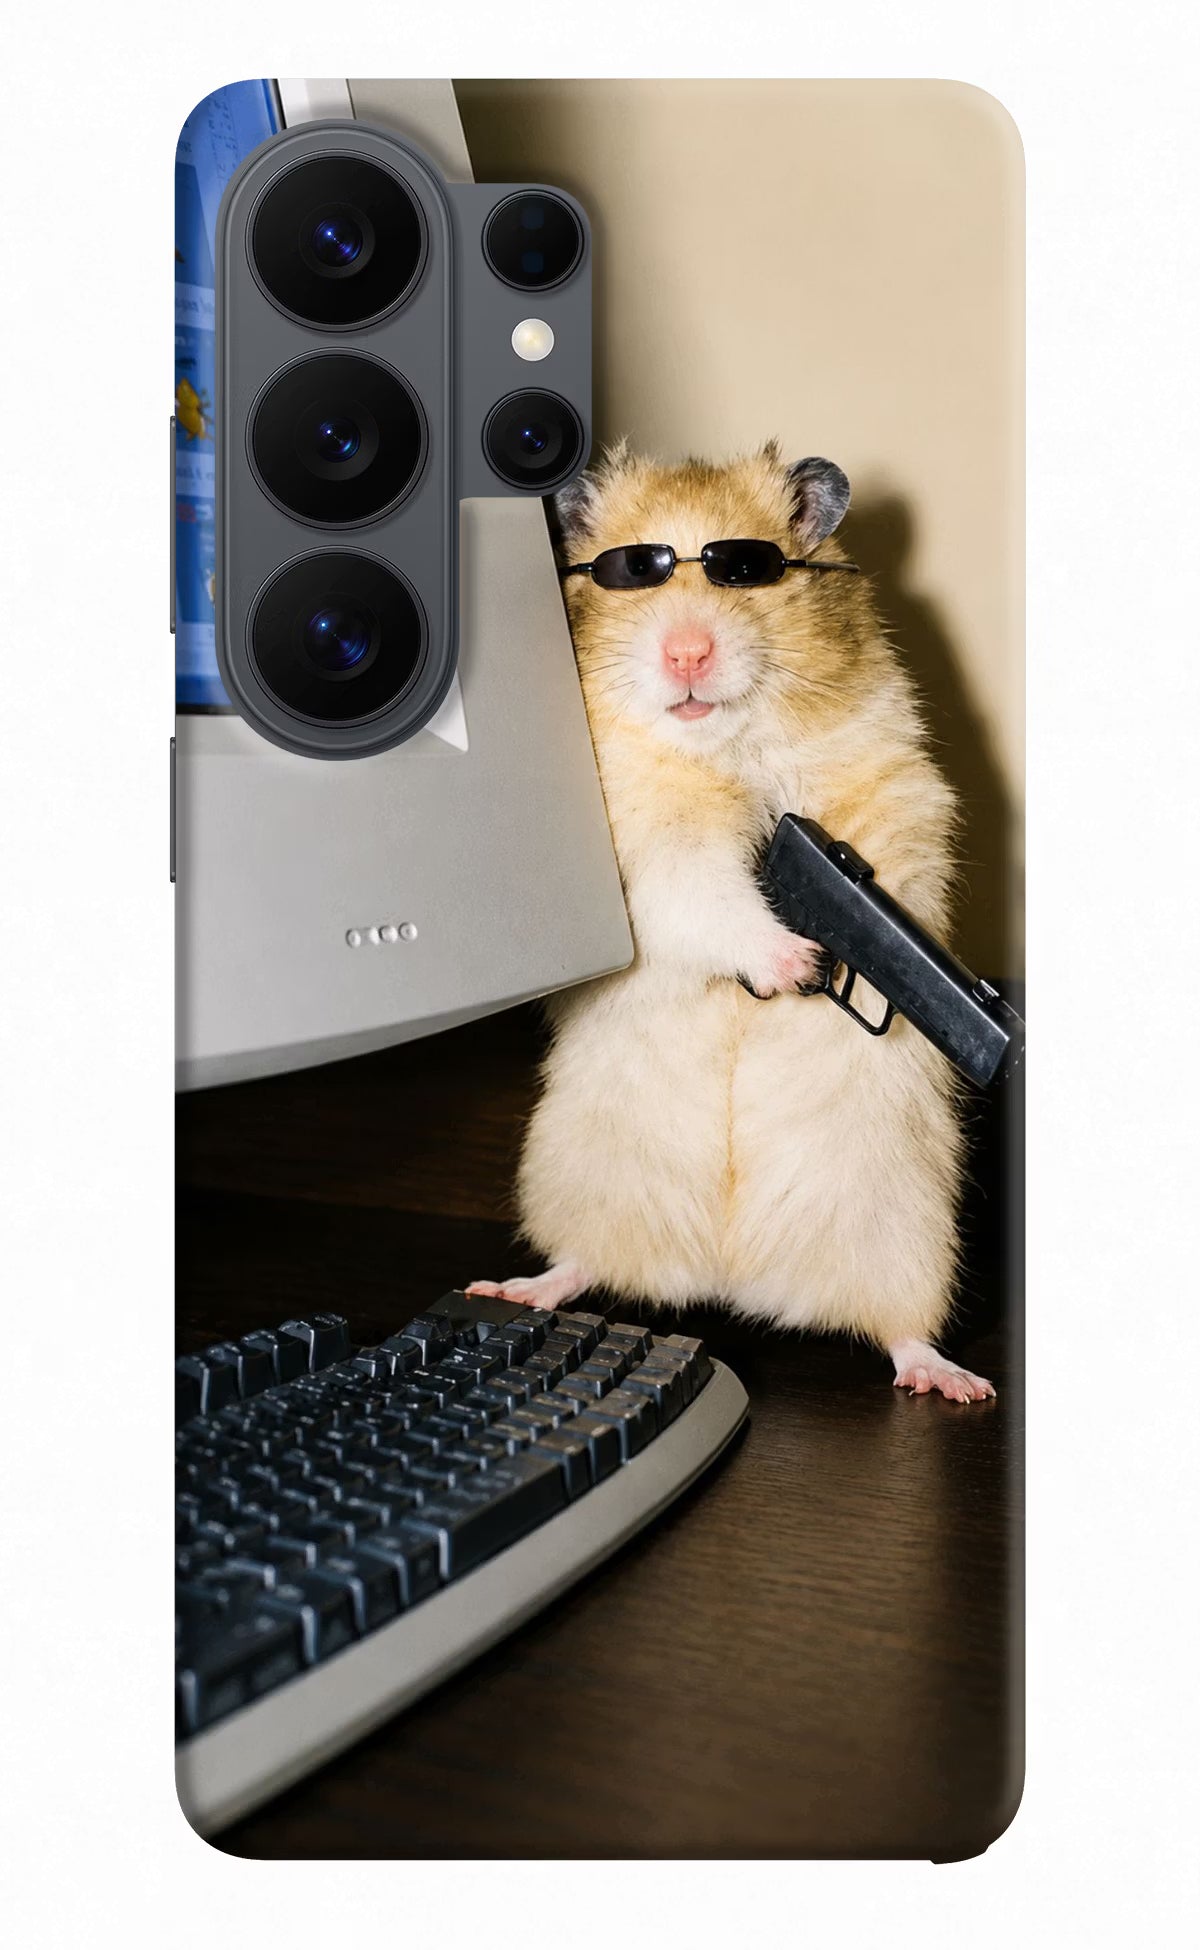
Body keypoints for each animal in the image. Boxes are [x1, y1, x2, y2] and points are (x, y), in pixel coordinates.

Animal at [468, 442, 993, 1402]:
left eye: (747, 570)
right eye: (633, 572)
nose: (686, 653)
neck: (724, 747)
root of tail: (730, 1276)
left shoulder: (895, 790)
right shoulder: (647, 851)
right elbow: (707, 895)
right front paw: (796, 964)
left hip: (907, 1229)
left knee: (900, 1329)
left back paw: (954, 1381)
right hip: (580, 1176)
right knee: (582, 1263)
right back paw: (515, 1288)